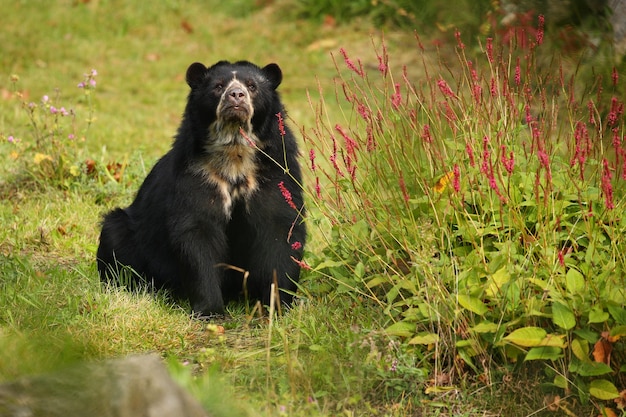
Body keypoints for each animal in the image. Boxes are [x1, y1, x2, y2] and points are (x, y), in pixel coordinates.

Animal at [94, 60, 304, 316]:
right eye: (218, 86)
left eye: (252, 86)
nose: (236, 95)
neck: (234, 151)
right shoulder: (196, 173)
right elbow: (198, 234)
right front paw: (210, 311)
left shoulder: (275, 170)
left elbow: (280, 229)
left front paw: (277, 306)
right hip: (129, 235)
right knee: (115, 238)